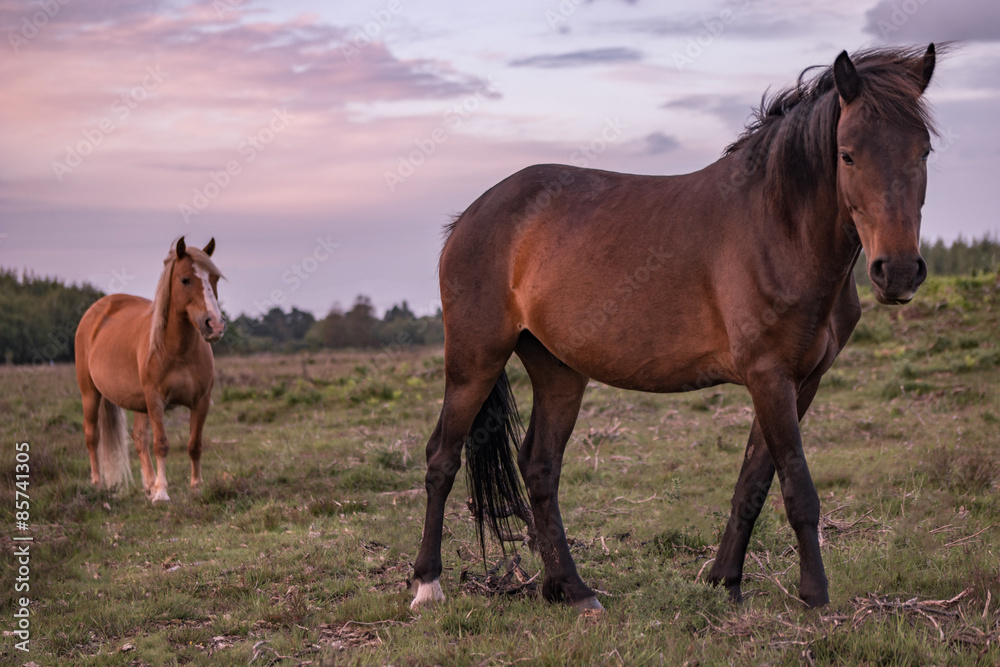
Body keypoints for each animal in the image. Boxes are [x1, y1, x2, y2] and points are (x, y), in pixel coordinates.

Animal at [75, 237, 226, 504]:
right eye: (185, 279)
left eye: (215, 278)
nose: (215, 325)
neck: (179, 351)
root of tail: (97, 310)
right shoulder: (155, 400)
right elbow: (162, 444)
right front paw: (162, 492)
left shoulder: (201, 401)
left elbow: (195, 445)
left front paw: (196, 487)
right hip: (90, 394)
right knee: (92, 436)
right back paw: (97, 484)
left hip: (139, 403)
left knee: (138, 437)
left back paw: (148, 485)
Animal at [410, 44, 940, 612]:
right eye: (847, 154)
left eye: (924, 152)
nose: (898, 271)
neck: (779, 228)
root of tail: (471, 216)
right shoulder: (769, 376)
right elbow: (798, 489)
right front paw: (815, 596)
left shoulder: (801, 381)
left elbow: (753, 482)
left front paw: (725, 580)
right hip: (475, 361)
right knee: (442, 458)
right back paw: (427, 585)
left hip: (558, 371)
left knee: (539, 465)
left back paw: (571, 589)